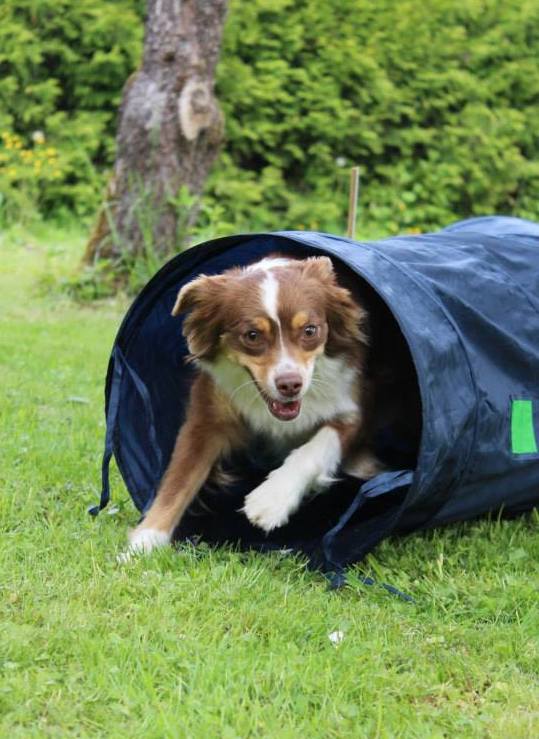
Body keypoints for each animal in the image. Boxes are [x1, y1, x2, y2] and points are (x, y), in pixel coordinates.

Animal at [126, 254, 384, 556]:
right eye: (252, 335)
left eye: (310, 330)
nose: (290, 385)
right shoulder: (207, 416)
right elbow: (179, 479)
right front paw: (143, 542)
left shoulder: (355, 406)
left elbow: (317, 447)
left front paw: (271, 500)